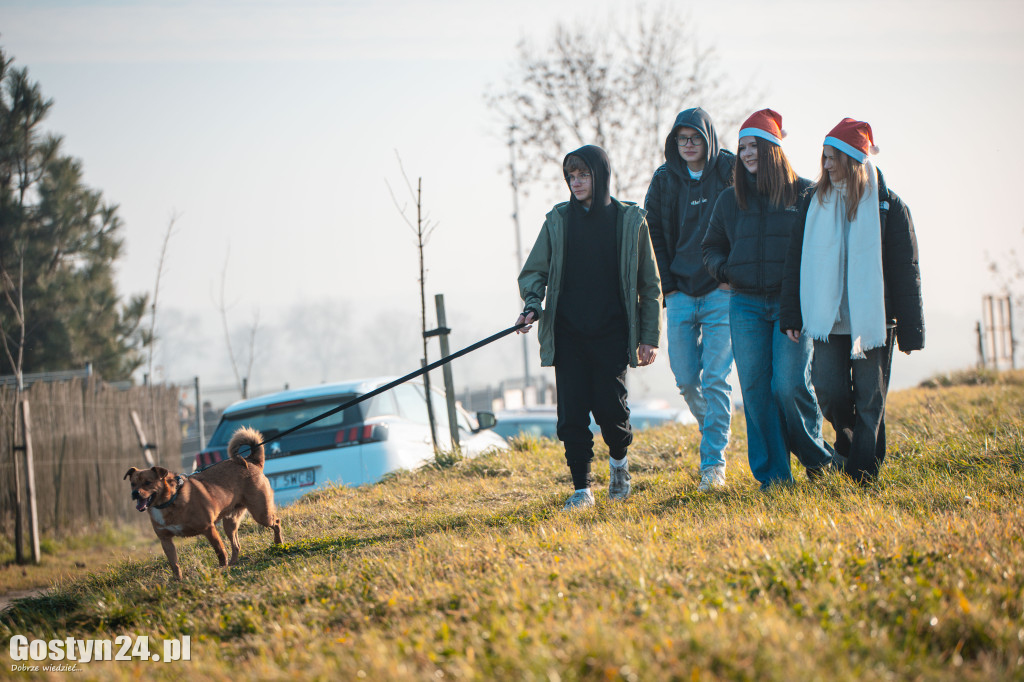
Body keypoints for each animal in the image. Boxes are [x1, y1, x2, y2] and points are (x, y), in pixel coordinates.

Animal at [124, 428, 284, 577]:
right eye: (132, 484)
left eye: (148, 482)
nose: (134, 493)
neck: (170, 501)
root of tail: (251, 461)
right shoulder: (166, 540)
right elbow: (174, 564)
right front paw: (178, 581)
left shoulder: (208, 529)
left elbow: (220, 551)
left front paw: (221, 569)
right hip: (230, 523)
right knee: (236, 545)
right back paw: (233, 564)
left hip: (261, 514)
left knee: (276, 522)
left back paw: (278, 544)